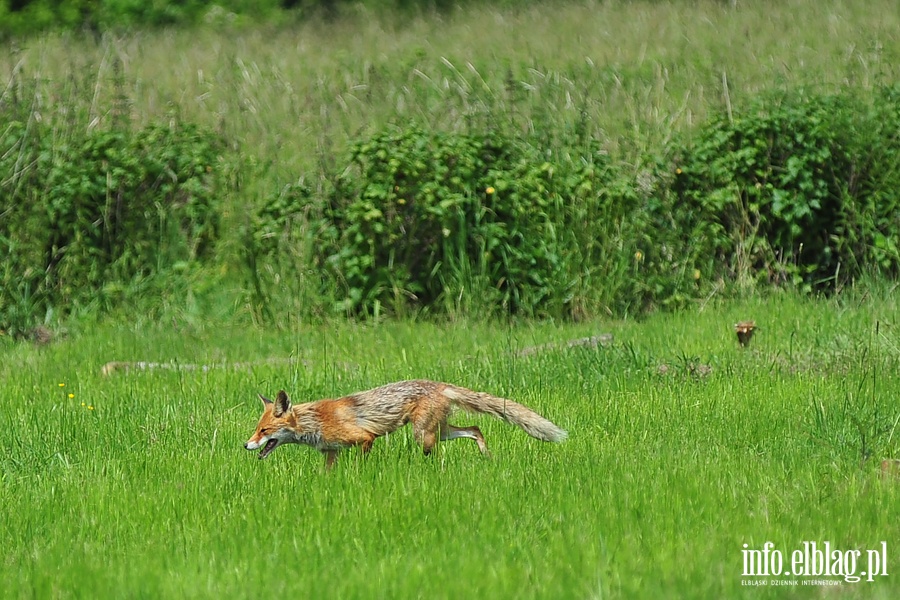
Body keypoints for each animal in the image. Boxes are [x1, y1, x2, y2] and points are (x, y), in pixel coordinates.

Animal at [243, 380, 568, 468]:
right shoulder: (330, 452)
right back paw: (487, 457)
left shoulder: (365, 438)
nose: (246, 445)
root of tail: (441, 385)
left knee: (437, 454)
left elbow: (361, 462)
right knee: (476, 430)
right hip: (439, 431)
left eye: (263, 431)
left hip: (422, 435)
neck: (315, 422)